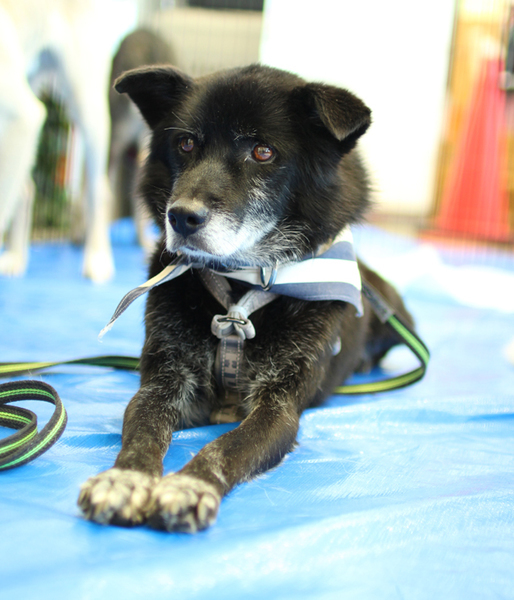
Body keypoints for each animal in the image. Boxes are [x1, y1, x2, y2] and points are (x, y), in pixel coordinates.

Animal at [0, 0, 115, 282]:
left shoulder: (23, 115)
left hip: (86, 104)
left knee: (98, 190)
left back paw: (97, 258)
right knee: (26, 188)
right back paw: (16, 257)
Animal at [78, 64, 414, 532]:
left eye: (262, 152)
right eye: (185, 143)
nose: (180, 217)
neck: (239, 287)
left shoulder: (279, 407)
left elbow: (228, 447)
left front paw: (190, 485)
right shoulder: (164, 382)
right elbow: (143, 429)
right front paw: (123, 479)